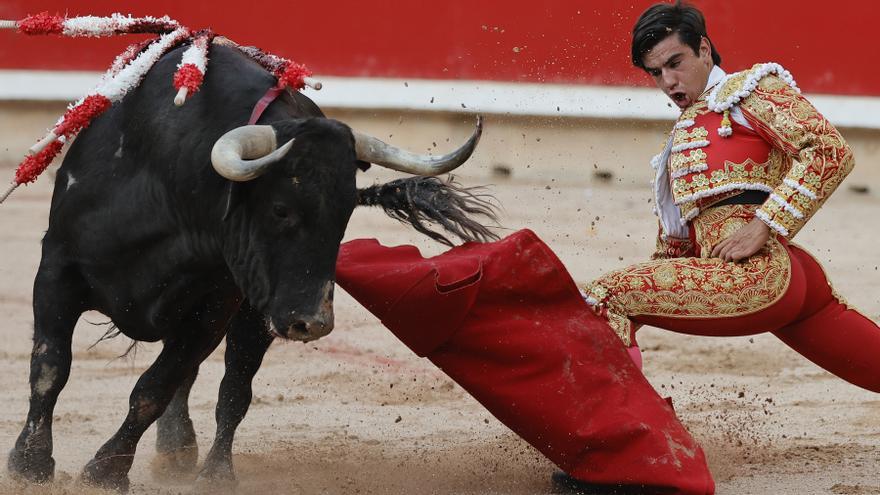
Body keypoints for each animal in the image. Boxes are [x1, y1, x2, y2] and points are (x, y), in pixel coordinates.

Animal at [6, 41, 496, 488]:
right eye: (280, 209)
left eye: (346, 213)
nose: (314, 322)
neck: (171, 185)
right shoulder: (57, 270)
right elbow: (50, 368)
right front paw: (29, 464)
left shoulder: (214, 307)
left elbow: (155, 387)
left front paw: (105, 471)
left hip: (255, 314)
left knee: (231, 390)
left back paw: (211, 471)